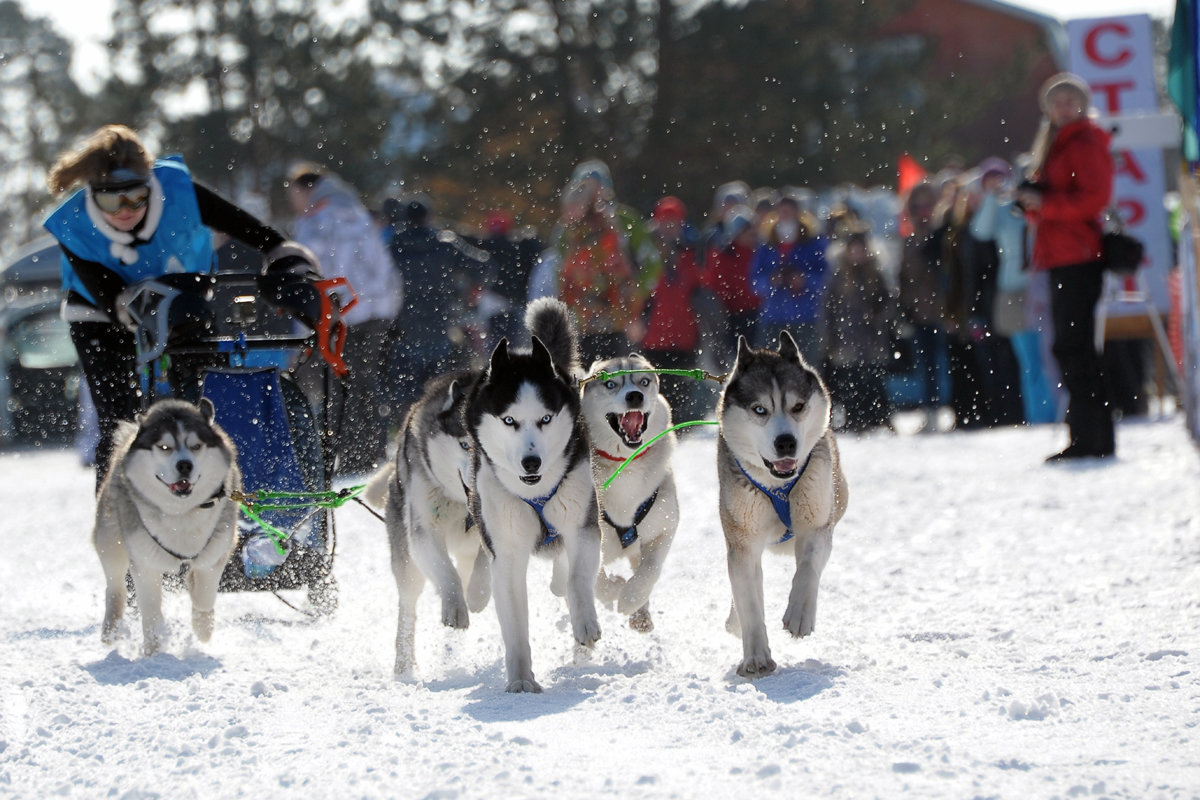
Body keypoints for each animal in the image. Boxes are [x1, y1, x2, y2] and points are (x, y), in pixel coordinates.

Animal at [95, 400, 243, 657]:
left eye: (196, 446)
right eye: (164, 447)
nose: (184, 465)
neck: (181, 513)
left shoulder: (216, 551)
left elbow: (204, 595)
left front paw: (203, 627)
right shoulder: (144, 562)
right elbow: (151, 614)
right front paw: (154, 651)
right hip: (110, 541)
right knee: (115, 586)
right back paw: (110, 630)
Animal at [367, 369, 494, 676]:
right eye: (465, 444)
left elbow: (483, 565)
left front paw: (478, 593)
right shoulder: (423, 531)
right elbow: (447, 575)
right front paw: (455, 607)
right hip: (406, 562)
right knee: (408, 608)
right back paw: (404, 664)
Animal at [465, 297, 604, 690]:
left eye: (545, 419)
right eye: (509, 420)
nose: (531, 462)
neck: (537, 491)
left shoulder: (583, 527)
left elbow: (577, 580)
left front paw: (584, 622)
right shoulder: (506, 554)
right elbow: (515, 626)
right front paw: (521, 681)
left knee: (564, 576)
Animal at [583, 355, 681, 633]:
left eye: (644, 381)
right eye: (610, 384)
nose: (635, 396)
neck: (624, 465)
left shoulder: (664, 527)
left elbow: (651, 570)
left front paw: (631, 598)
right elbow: (598, 583)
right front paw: (616, 588)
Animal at [715, 335, 849, 681]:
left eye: (798, 406)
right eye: (759, 409)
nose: (786, 442)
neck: (778, 486)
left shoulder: (817, 525)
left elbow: (808, 567)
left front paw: (799, 613)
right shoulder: (743, 541)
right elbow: (750, 603)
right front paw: (756, 657)